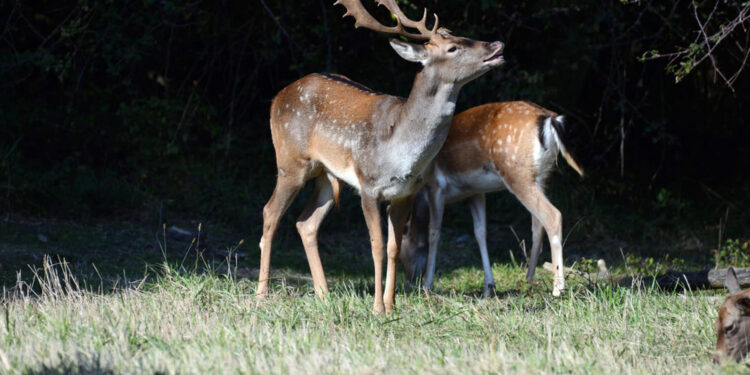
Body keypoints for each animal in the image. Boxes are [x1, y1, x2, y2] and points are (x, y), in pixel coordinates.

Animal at [258, 0, 506, 314]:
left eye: (464, 36)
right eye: (452, 48)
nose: (496, 44)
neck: (400, 152)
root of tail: (276, 98)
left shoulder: (406, 192)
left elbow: (394, 247)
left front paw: (391, 304)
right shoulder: (368, 184)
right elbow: (376, 246)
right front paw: (377, 307)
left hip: (327, 175)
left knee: (306, 222)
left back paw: (324, 295)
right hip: (290, 162)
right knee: (270, 212)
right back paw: (262, 294)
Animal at [402, 101, 584, 298]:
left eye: (402, 256)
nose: (409, 282)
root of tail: (550, 119)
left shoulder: (436, 185)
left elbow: (434, 232)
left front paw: (427, 285)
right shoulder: (475, 192)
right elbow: (480, 232)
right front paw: (489, 286)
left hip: (517, 173)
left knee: (553, 216)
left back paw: (557, 289)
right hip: (540, 177)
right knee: (537, 226)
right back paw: (527, 282)